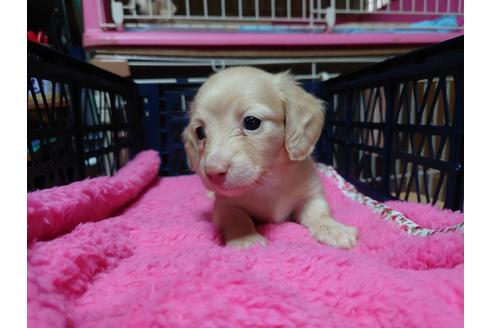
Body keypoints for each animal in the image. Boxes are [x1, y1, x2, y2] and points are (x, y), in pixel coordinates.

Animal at [181, 66, 358, 249]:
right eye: (200, 132)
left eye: (252, 122)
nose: (213, 172)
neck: (267, 181)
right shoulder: (224, 205)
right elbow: (236, 217)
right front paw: (246, 240)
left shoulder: (310, 194)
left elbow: (318, 212)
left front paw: (333, 229)